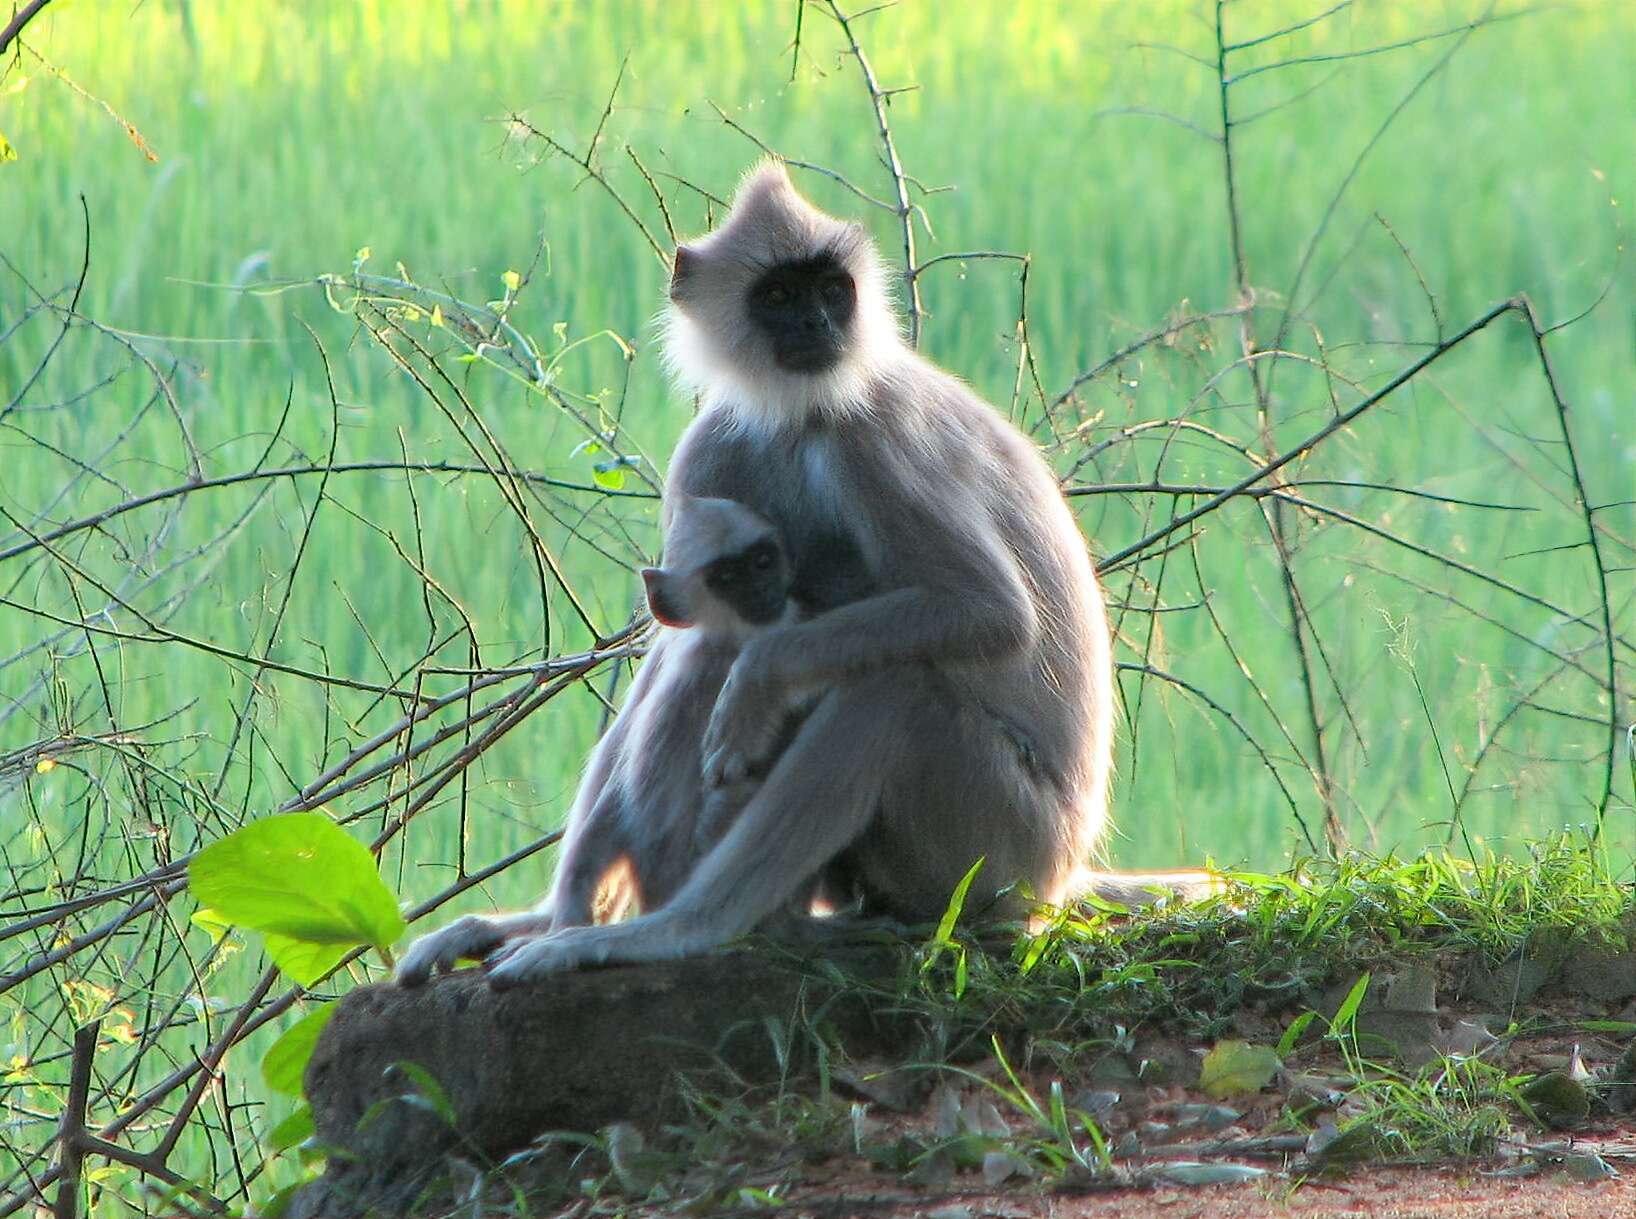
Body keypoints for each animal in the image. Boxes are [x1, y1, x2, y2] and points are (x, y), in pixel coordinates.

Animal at [402, 154, 1210, 988]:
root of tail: (1063, 871)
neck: (801, 413)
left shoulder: (877, 438)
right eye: (780, 296)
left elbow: (990, 613)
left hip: (1001, 843)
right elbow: (679, 629)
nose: (819, 326)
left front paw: (759, 680)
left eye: (830, 290)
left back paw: (677, 929)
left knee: (893, 693)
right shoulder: (713, 445)